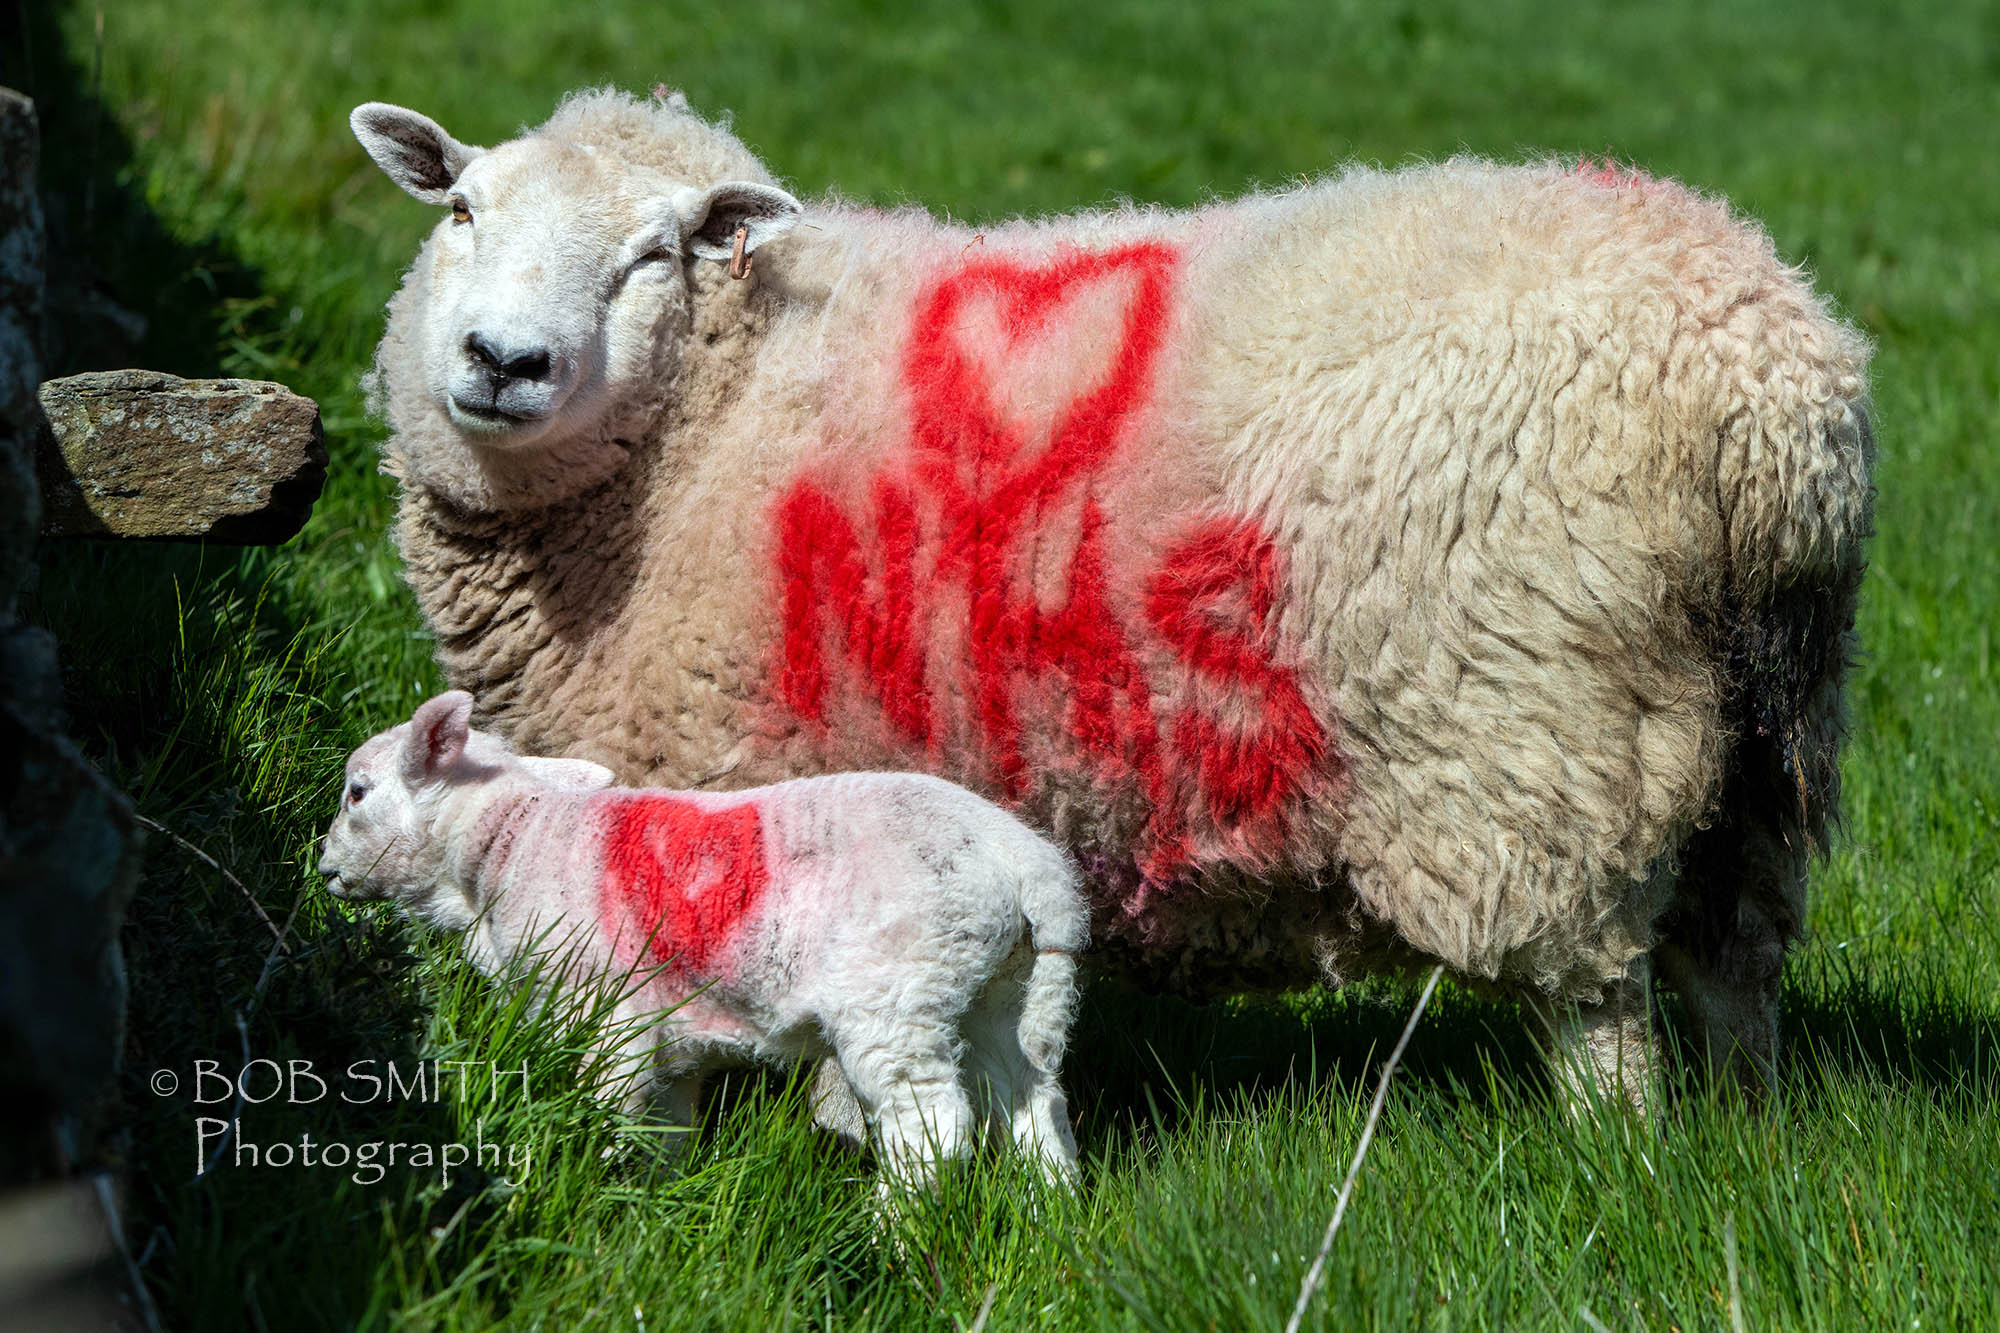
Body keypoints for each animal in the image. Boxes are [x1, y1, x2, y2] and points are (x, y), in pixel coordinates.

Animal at [318, 688, 1088, 1176]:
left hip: (899, 989)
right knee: (1036, 1105)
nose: (323, 870)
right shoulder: (670, 1034)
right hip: (1012, 989)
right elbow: (663, 1133)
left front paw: (597, 1188)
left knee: (932, 1127)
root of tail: (1028, 869)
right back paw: (1049, 1222)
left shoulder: (605, 1011)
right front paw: (651, 1204)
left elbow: (606, 1109)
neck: (512, 834)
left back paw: (891, 1241)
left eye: (357, 793)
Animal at [348, 80, 1872, 1096]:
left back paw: (1622, 1156)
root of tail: (1773, 381)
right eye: (462, 207)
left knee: (1595, 991)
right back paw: (1739, 1135)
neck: (707, 422)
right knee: (1736, 956)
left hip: (1528, 731)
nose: (501, 360)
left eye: (655, 254)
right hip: (1755, 732)